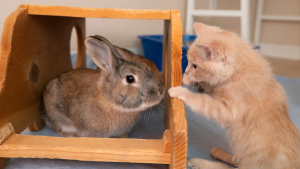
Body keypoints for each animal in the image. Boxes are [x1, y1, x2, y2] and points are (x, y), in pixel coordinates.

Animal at [169, 22, 300, 169]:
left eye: (195, 66)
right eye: (189, 62)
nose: (186, 71)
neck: (238, 73)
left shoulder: (228, 110)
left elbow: (202, 101)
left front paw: (182, 89)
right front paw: (187, 79)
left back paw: (199, 162)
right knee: (237, 160)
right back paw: (218, 152)